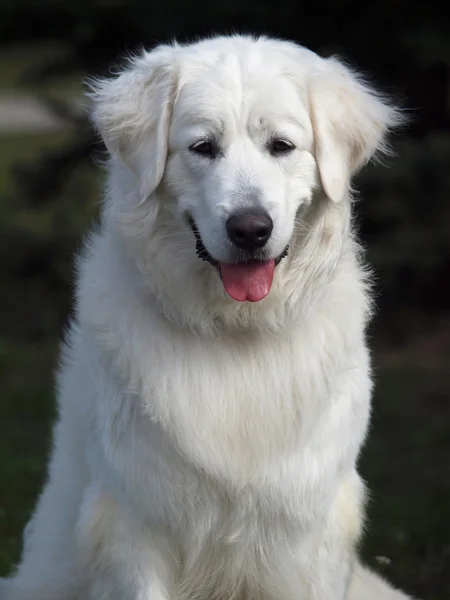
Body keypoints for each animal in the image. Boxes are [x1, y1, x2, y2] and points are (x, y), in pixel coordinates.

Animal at [0, 36, 414, 600]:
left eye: (281, 146)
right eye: (203, 148)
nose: (250, 229)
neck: (235, 331)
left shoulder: (311, 530)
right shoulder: (134, 525)